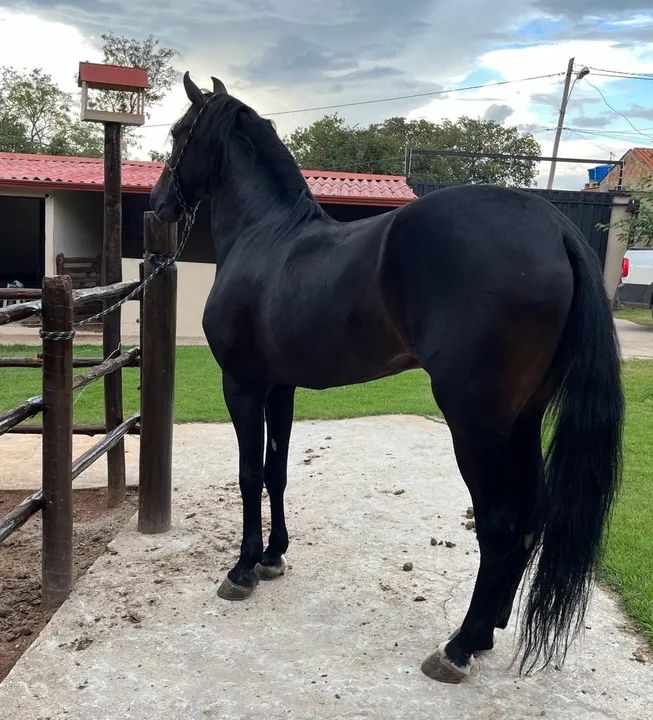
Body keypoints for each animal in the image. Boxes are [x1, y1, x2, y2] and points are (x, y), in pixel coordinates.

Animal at [151, 72, 623, 683]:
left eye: (179, 132)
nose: (158, 205)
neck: (267, 237)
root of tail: (558, 228)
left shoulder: (243, 385)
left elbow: (249, 475)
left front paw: (243, 568)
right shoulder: (281, 388)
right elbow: (277, 471)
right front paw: (275, 556)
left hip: (476, 424)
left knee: (498, 521)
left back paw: (460, 646)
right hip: (522, 420)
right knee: (529, 515)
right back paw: (491, 628)